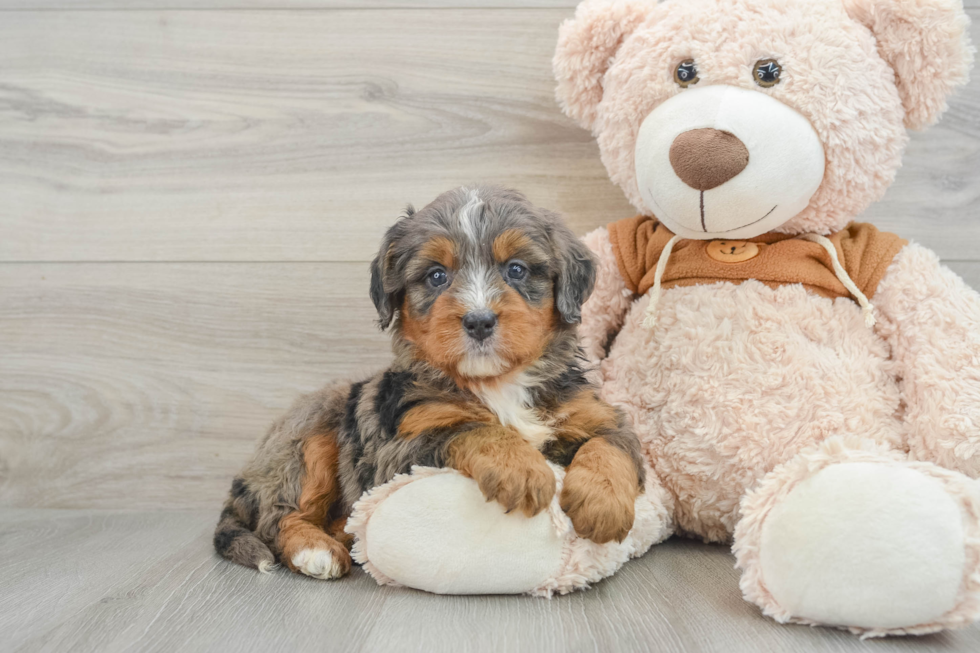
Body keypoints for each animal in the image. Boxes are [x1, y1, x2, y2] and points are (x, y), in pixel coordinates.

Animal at [214, 186, 644, 580]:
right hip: (310, 437)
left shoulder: (593, 413)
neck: (498, 383)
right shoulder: (400, 447)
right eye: (437, 276)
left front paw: (603, 503)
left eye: (516, 269)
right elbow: (472, 429)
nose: (479, 321)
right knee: (281, 517)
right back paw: (315, 550)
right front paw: (522, 468)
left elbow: (610, 445)